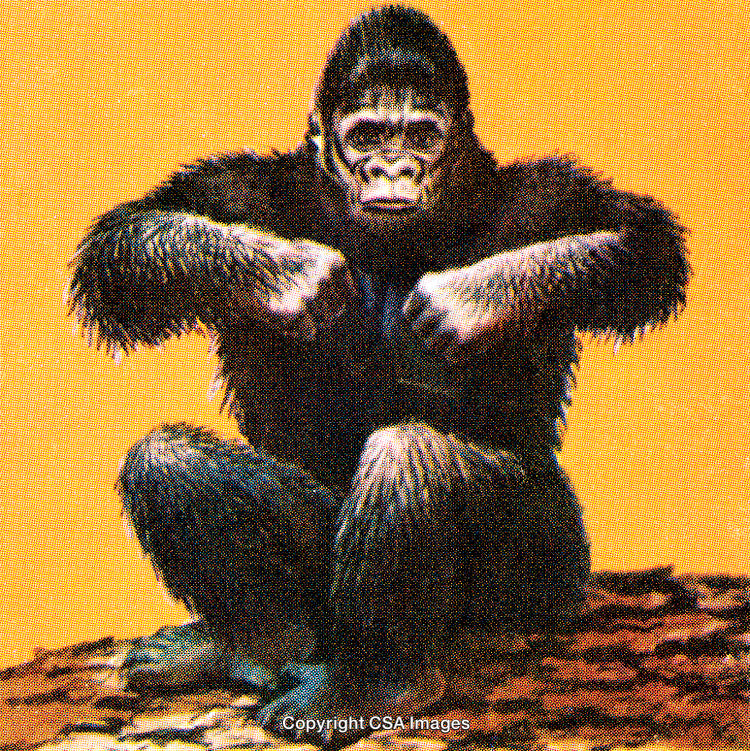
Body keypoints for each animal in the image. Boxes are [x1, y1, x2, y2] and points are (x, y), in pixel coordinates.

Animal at [67, 5, 690, 743]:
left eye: (420, 134)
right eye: (366, 134)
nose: (392, 167)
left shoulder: (545, 195)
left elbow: (641, 245)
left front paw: (474, 294)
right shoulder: (240, 188)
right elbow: (125, 241)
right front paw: (292, 276)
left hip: (547, 577)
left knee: (409, 456)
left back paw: (373, 681)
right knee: (167, 458)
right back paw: (254, 648)